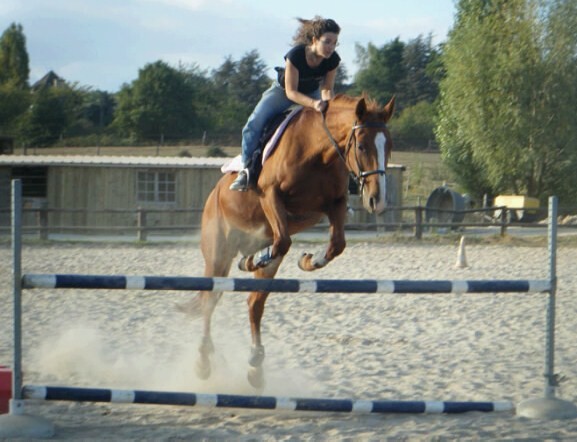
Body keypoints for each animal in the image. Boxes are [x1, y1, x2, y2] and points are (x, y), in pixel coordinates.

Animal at [191, 93, 394, 386]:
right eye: (362, 146)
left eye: (388, 146)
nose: (377, 201)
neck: (318, 152)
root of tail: (213, 194)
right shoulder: (270, 195)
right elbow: (284, 239)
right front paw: (261, 259)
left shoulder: (332, 204)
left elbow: (336, 244)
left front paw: (308, 261)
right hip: (217, 253)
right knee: (209, 300)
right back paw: (204, 361)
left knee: (254, 303)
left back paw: (256, 366)